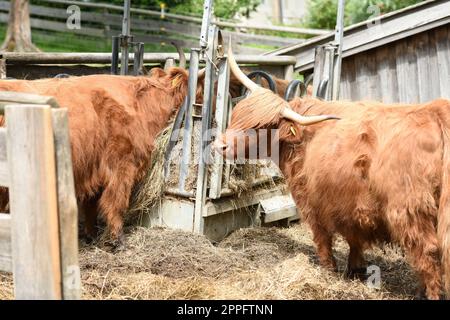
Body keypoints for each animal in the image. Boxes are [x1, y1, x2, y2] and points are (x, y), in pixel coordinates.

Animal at [0, 68, 188, 242]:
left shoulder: (94, 169)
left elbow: (91, 205)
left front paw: (92, 235)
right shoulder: (123, 164)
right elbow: (117, 202)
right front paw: (116, 239)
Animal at [215, 48, 450, 300]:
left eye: (259, 127)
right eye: (237, 114)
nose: (220, 145)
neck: (301, 140)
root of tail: (436, 110)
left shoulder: (312, 200)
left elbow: (323, 237)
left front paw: (328, 269)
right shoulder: (351, 204)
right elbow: (354, 239)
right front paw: (355, 269)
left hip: (408, 209)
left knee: (428, 251)